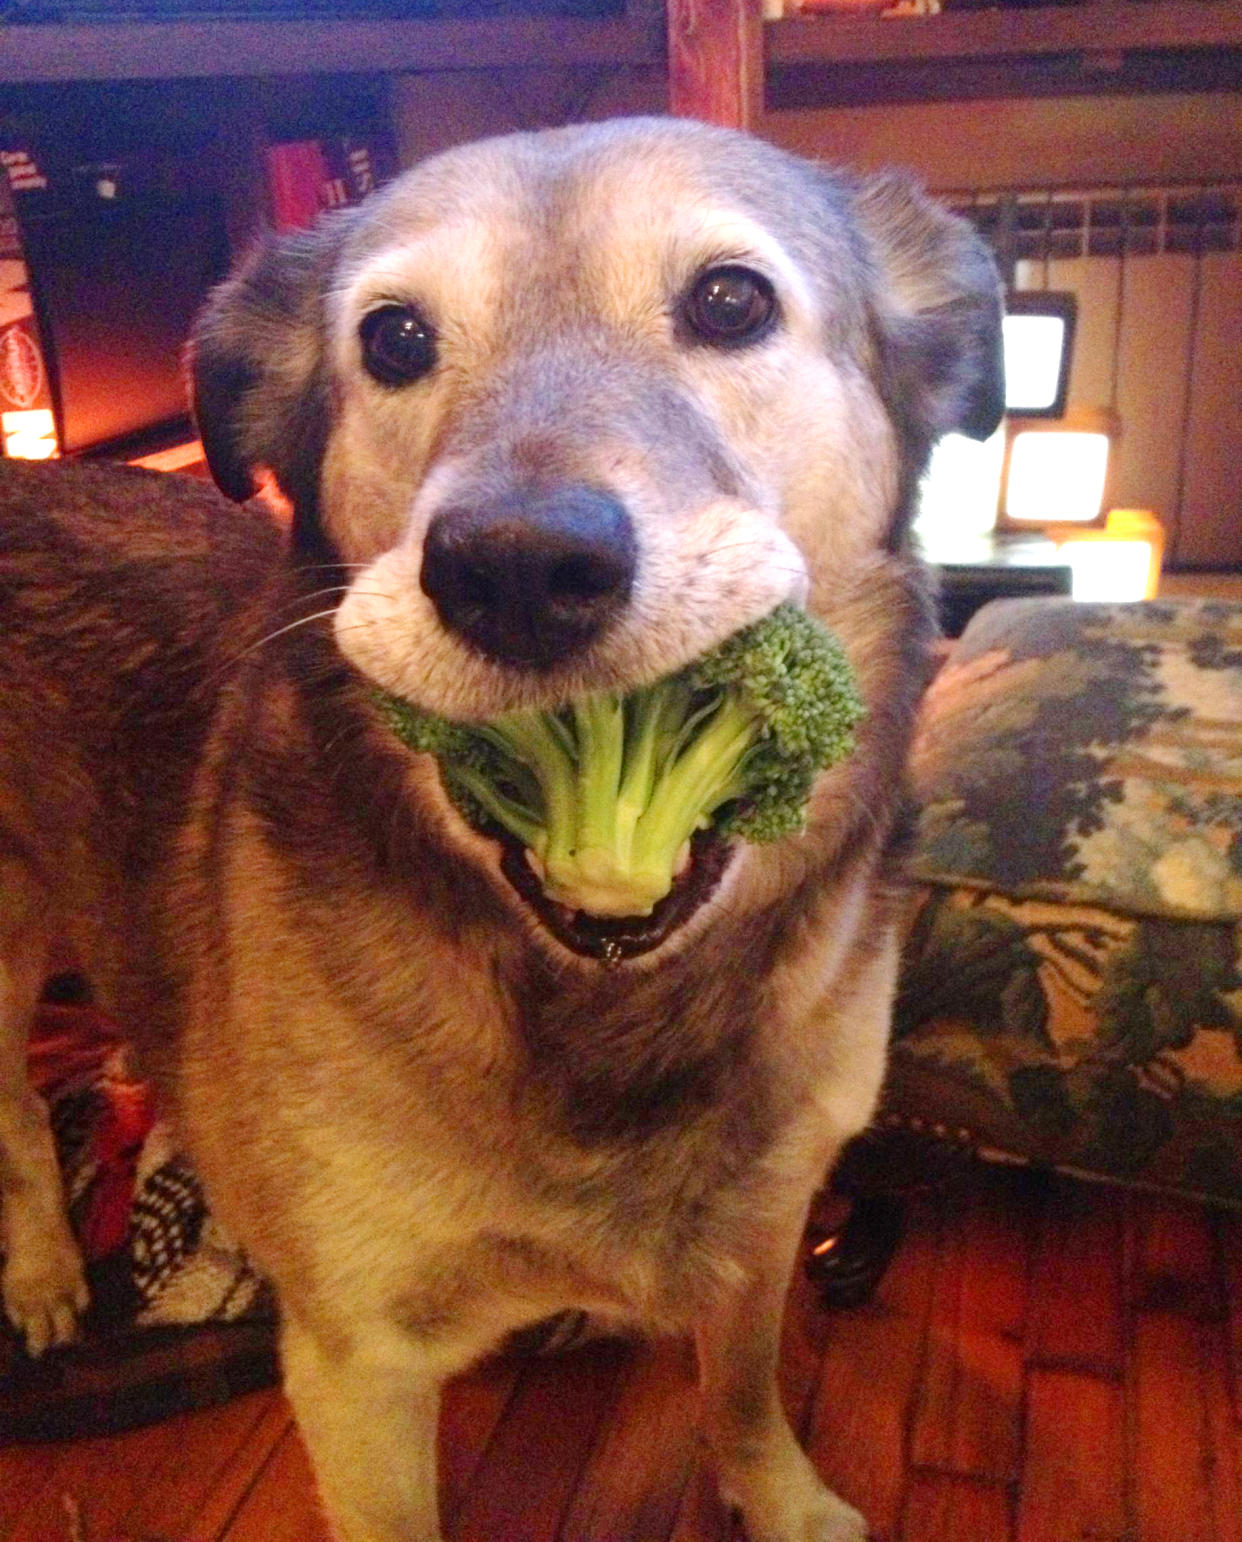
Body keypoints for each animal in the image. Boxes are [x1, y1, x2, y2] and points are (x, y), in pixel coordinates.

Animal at [0, 114, 1005, 1535]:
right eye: (393, 340)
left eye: (731, 301)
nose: (516, 569)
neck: (608, 1014)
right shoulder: (357, 1366)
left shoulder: (766, 1221)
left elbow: (745, 1389)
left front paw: (785, 1499)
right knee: (17, 1114)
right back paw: (41, 1268)